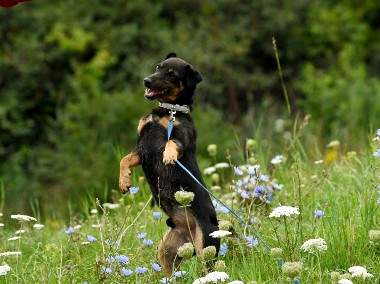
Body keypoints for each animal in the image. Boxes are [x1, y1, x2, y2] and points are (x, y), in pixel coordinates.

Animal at [119, 52, 220, 276]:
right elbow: (124, 160)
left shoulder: (182, 137)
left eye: (172, 74)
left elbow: (172, 143)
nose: (146, 80)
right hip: (166, 250)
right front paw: (124, 181)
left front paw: (168, 155)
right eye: (158, 67)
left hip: (205, 246)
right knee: (169, 270)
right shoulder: (141, 150)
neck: (169, 112)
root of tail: (188, 239)